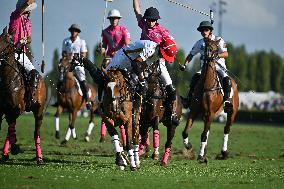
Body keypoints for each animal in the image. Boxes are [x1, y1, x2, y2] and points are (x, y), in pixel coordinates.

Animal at [0, 27, 46, 165]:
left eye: (7, 41)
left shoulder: (17, 108)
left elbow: (11, 128)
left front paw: (15, 148)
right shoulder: (2, 110)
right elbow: (9, 129)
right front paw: (11, 149)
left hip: (39, 111)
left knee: (36, 133)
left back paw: (39, 158)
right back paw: (5, 154)